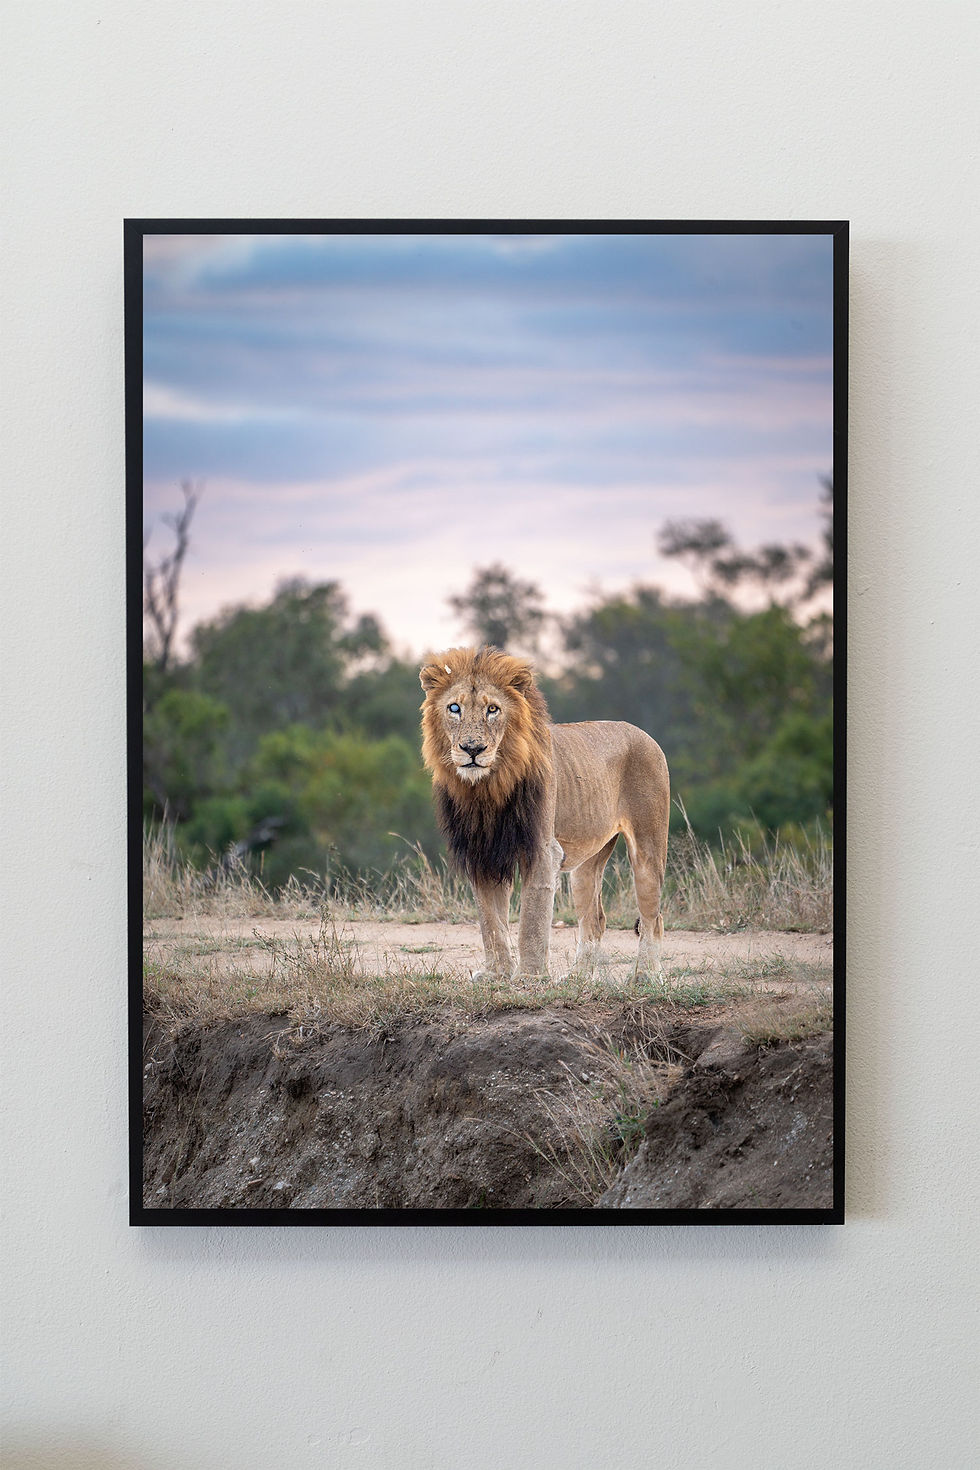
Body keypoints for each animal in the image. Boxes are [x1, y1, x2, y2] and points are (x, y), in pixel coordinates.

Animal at [420, 645, 669, 980]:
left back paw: (645, 975)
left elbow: (532, 919)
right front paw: (497, 974)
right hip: (586, 864)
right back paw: (577, 978)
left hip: (647, 849)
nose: (473, 749)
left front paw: (530, 976)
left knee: (653, 917)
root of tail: (644, 734)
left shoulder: (542, 850)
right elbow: (491, 921)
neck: (487, 788)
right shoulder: (482, 854)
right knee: (594, 920)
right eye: (454, 708)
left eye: (493, 709)